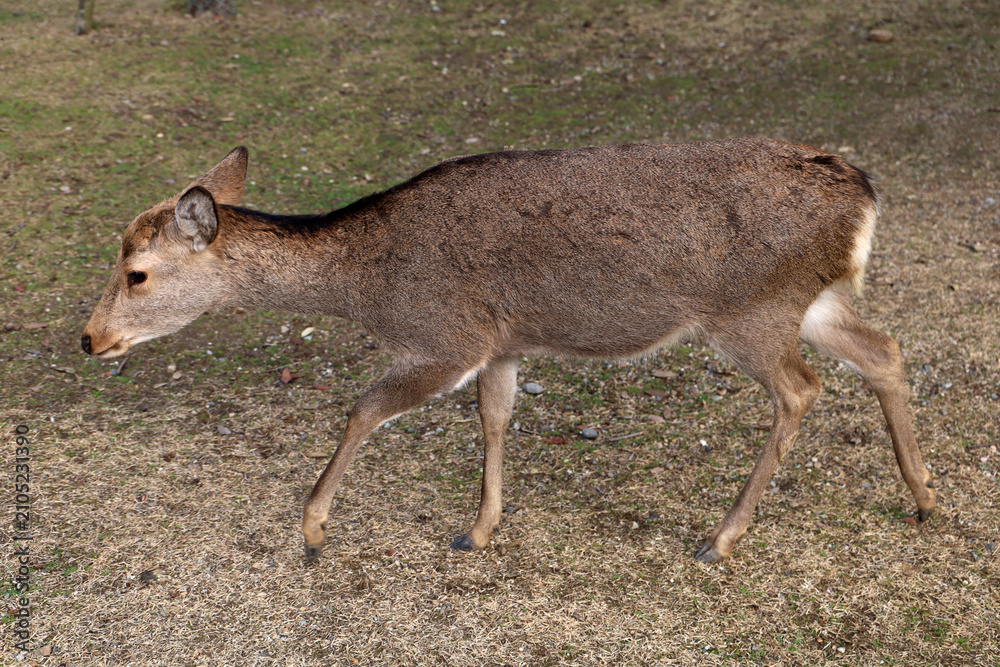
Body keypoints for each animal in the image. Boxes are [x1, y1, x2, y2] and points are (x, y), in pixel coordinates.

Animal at [81, 139, 935, 564]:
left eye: (137, 271)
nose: (90, 337)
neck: (366, 282)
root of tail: (865, 196)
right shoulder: (500, 344)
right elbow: (494, 417)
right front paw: (480, 528)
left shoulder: (446, 335)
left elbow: (364, 407)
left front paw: (314, 529)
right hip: (810, 299)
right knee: (884, 348)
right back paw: (924, 495)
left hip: (750, 310)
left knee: (802, 389)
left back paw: (719, 538)